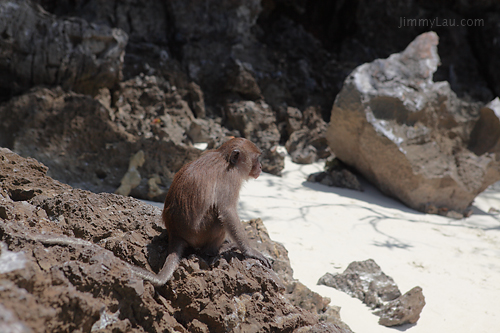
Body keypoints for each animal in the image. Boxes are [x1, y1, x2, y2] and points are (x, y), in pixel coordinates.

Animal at [130, 137, 270, 286]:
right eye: (256, 159)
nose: (260, 167)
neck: (224, 158)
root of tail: (176, 233)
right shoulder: (230, 178)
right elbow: (227, 212)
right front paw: (250, 251)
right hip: (199, 234)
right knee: (217, 217)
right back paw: (215, 250)